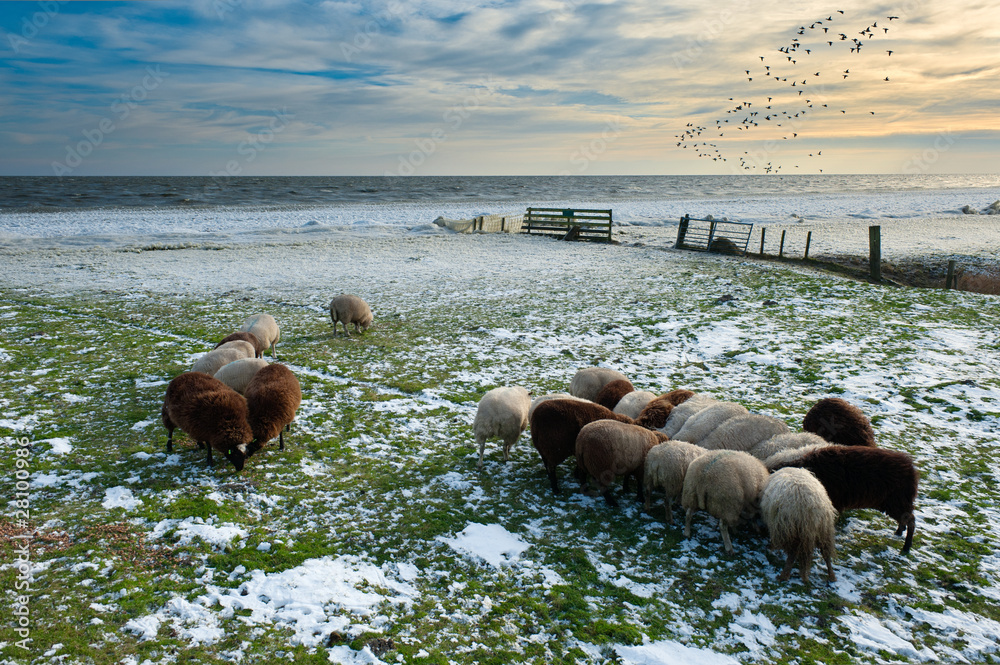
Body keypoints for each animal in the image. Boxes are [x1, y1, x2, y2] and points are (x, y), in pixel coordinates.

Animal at [764, 444, 920, 552]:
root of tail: (911, 469)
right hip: (897, 503)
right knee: (906, 518)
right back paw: (899, 531)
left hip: (896, 501)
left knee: (911, 520)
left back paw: (906, 547)